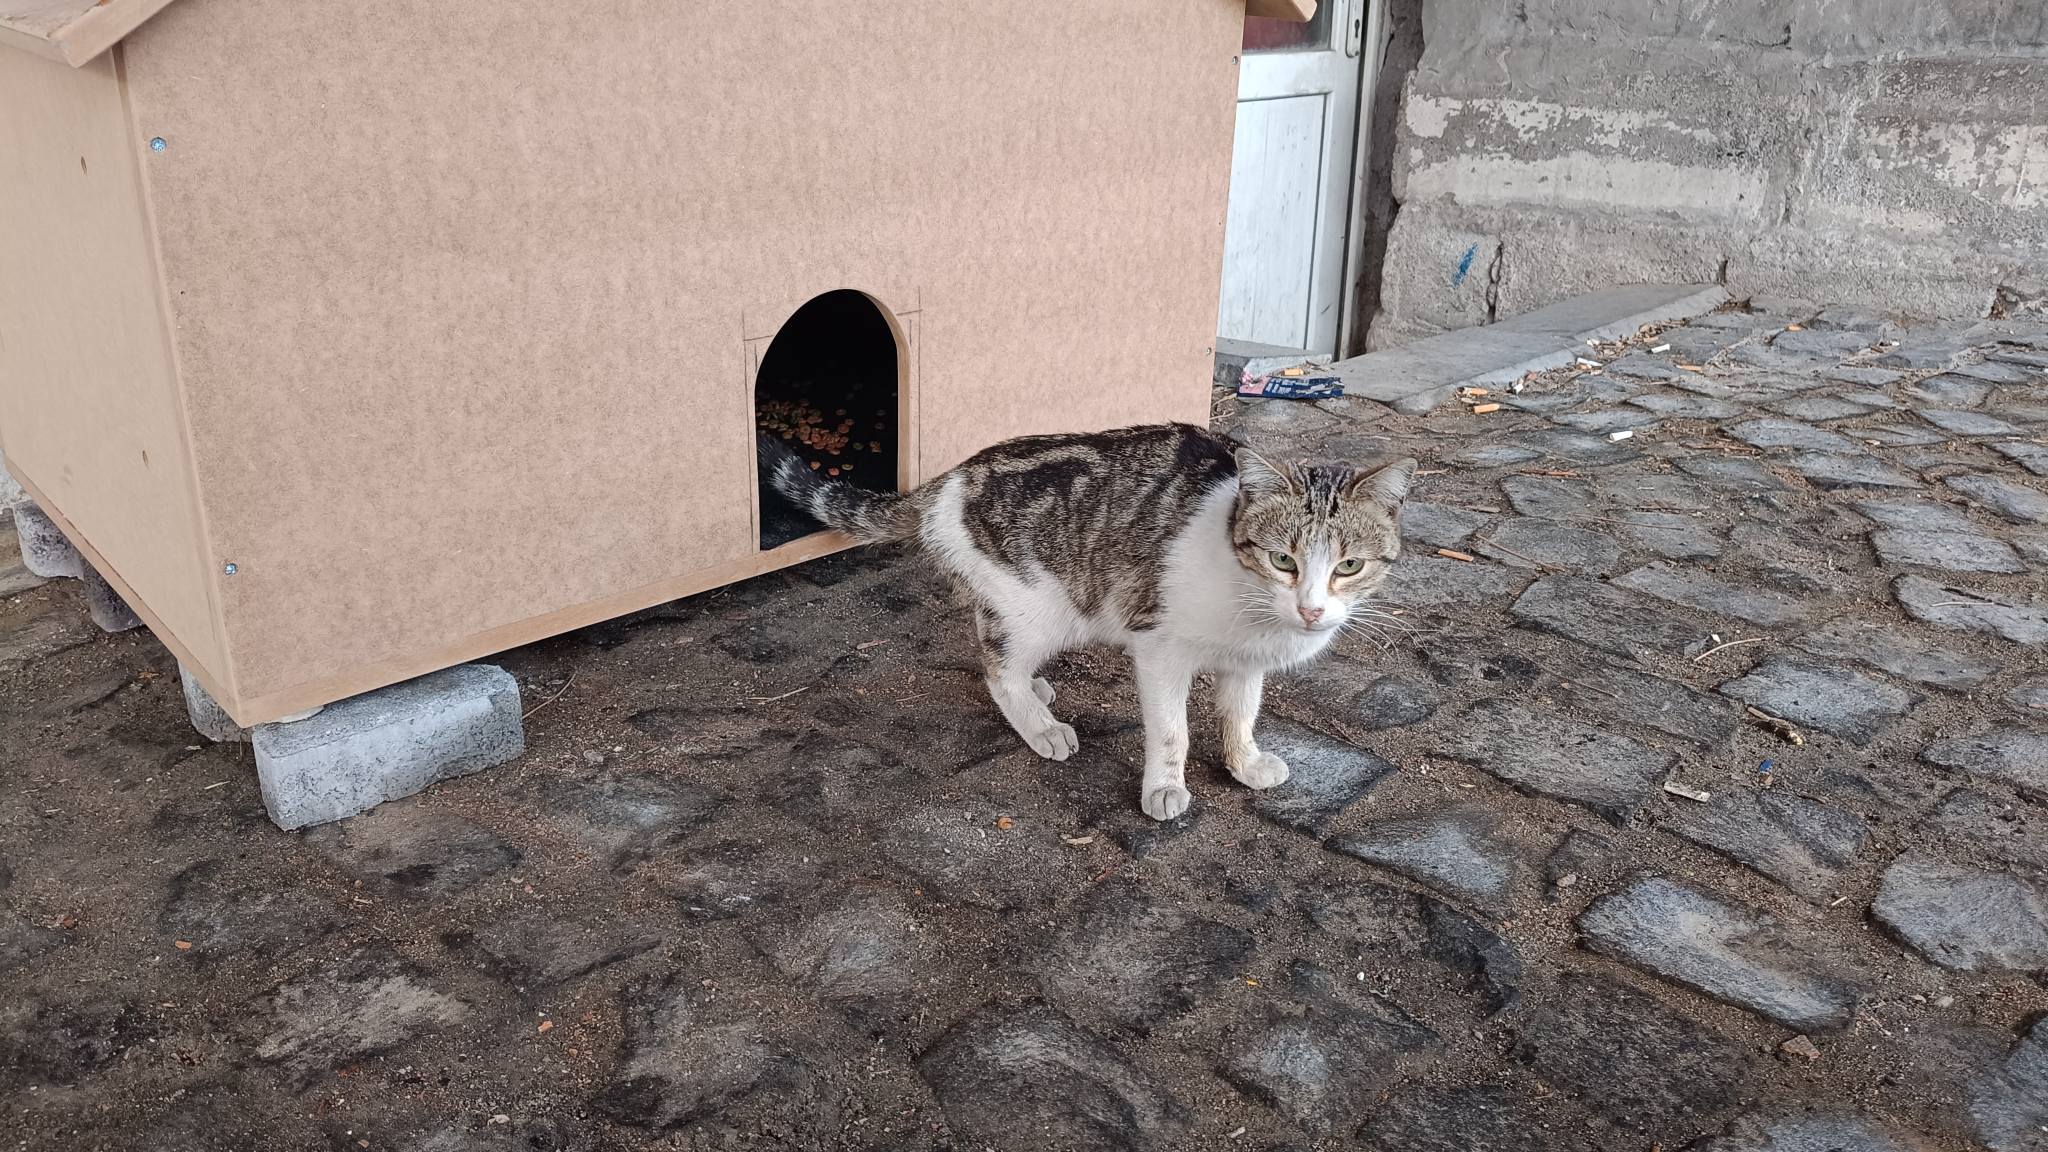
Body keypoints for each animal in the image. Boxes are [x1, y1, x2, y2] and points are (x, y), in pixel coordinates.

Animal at [761, 422, 1415, 821]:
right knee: (997, 669)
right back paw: (1038, 722)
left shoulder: (1246, 662)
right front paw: (1165, 786)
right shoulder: (1159, 647)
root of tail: (949, 478)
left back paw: (1038, 690)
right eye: (1283, 560)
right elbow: (1171, 730)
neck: (1252, 603)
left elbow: (1240, 713)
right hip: (1035, 608)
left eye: (1349, 566)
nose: (1311, 609)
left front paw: (1244, 762)